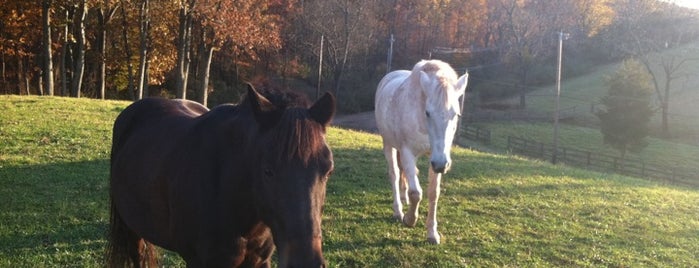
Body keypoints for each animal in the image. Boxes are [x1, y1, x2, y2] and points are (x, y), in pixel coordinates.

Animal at [374, 59, 468, 244]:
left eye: (457, 115)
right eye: (428, 112)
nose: (441, 165)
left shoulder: (436, 157)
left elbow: (433, 193)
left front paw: (432, 233)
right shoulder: (408, 153)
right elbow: (416, 192)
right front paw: (409, 219)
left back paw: (403, 199)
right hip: (388, 143)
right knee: (394, 173)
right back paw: (398, 210)